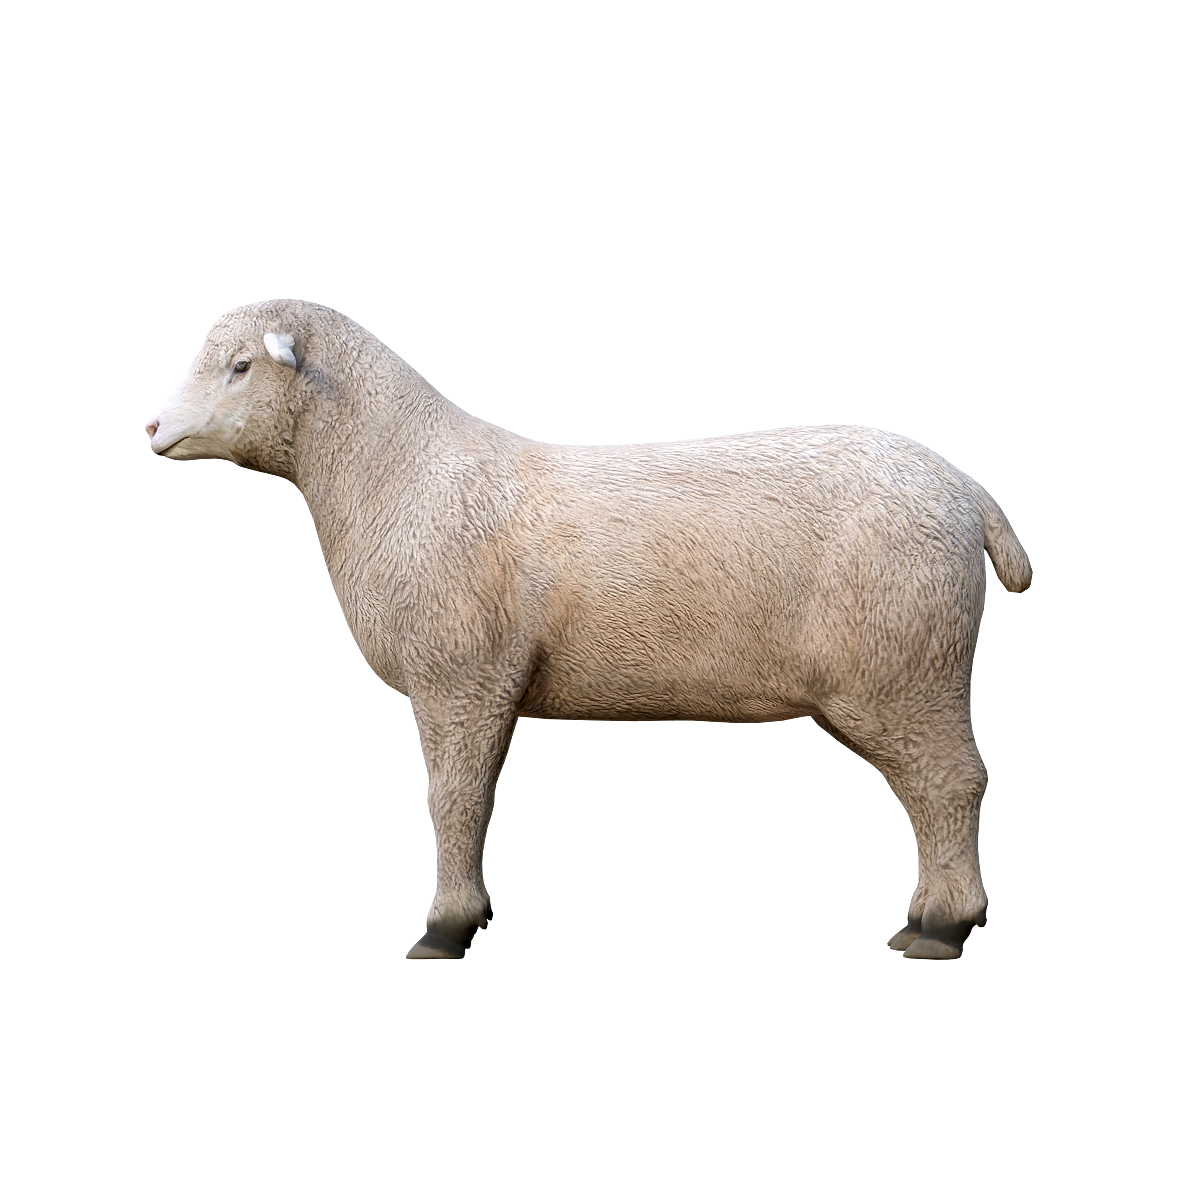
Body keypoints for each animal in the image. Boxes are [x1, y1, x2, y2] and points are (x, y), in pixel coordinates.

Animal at [147, 298, 1033, 960]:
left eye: (240, 365)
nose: (154, 431)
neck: (402, 474)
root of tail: (965, 491)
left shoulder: (460, 672)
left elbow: (453, 798)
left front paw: (446, 925)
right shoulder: (479, 680)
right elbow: (470, 796)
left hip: (904, 662)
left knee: (951, 783)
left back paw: (944, 925)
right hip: (894, 674)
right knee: (928, 790)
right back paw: (918, 915)